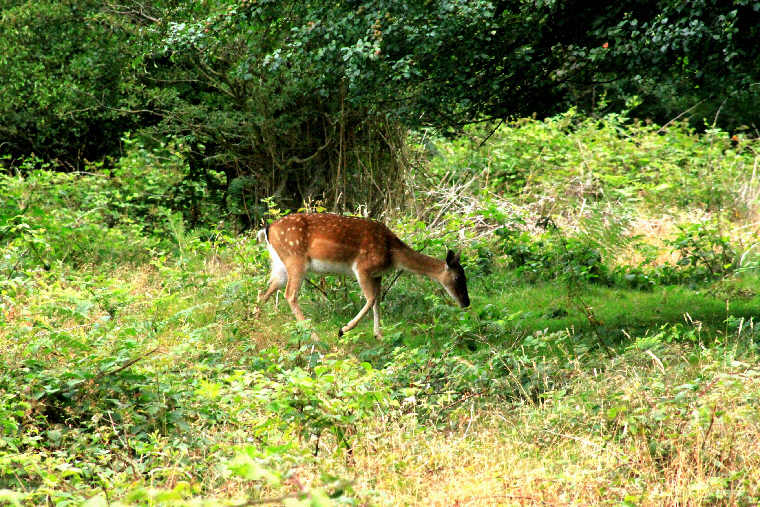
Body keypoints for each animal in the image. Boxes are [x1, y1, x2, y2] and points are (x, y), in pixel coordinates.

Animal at [256, 212, 470, 340]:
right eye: (458, 278)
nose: (466, 302)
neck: (392, 254)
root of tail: (267, 229)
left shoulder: (377, 275)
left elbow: (377, 303)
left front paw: (379, 336)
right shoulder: (363, 267)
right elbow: (371, 299)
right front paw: (343, 329)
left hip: (281, 264)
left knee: (264, 290)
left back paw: (254, 320)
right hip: (296, 259)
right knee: (290, 295)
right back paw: (314, 336)